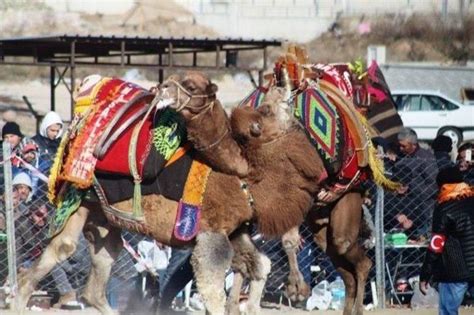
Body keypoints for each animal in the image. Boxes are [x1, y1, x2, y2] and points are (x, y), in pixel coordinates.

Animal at [15, 71, 326, 315]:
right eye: (272, 108)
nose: (161, 88)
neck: (244, 180)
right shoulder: (211, 233)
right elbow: (213, 292)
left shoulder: (235, 231)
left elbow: (260, 265)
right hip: (76, 199)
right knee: (60, 252)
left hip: (102, 217)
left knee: (96, 279)